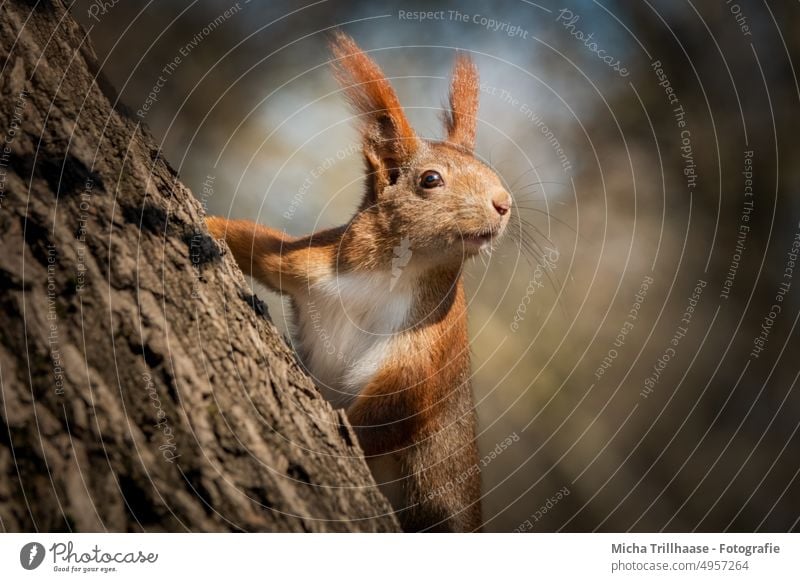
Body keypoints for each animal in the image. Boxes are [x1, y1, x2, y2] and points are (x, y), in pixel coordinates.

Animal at [203, 33, 510, 532]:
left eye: (491, 171)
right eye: (430, 179)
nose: (504, 202)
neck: (389, 273)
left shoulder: (428, 340)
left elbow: (400, 404)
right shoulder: (315, 266)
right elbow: (261, 248)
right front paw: (202, 226)